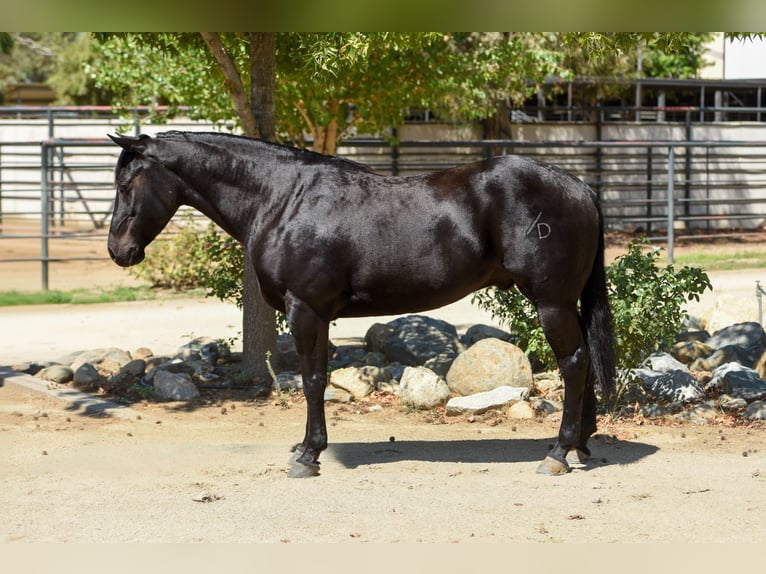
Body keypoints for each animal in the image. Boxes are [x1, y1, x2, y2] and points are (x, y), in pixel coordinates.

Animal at [107, 130, 616, 478]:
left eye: (127, 185)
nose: (118, 250)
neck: (283, 198)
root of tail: (580, 187)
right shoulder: (317, 314)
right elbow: (316, 379)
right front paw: (307, 449)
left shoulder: (306, 309)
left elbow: (313, 381)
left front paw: (308, 455)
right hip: (564, 303)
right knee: (584, 360)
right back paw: (581, 445)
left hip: (551, 302)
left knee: (573, 362)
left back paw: (557, 453)